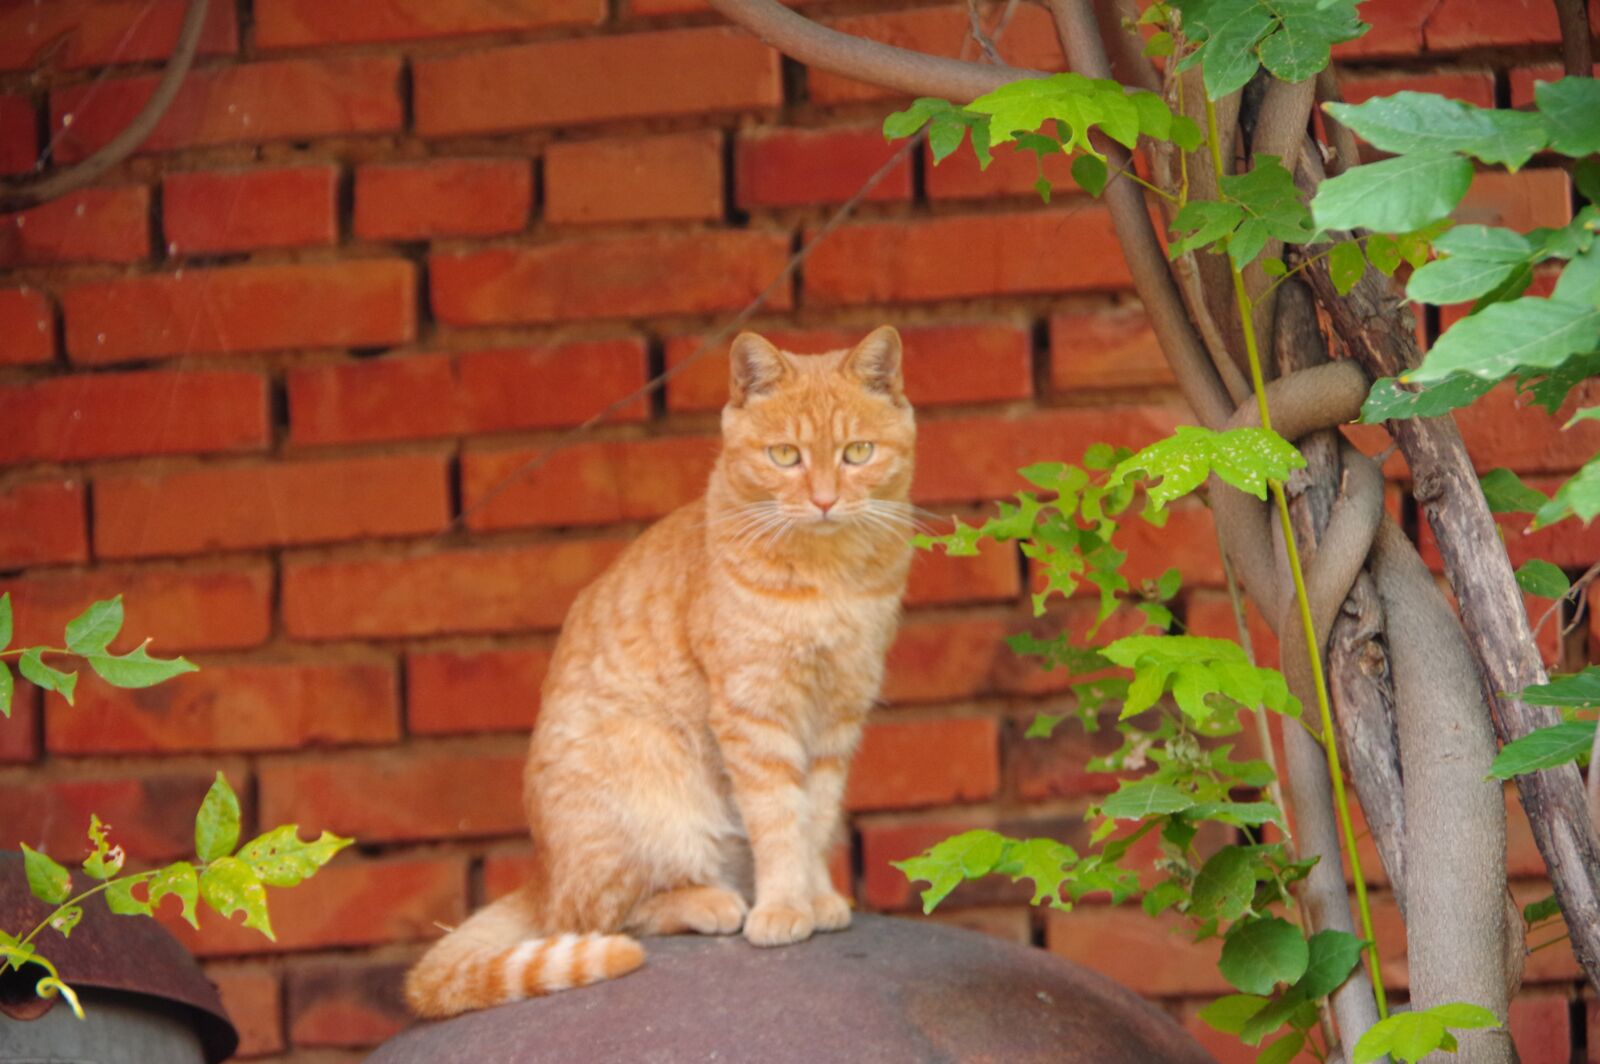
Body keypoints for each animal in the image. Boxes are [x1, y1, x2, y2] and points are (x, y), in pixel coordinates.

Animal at [406, 326, 921, 1024]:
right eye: (785, 456)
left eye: (857, 452)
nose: (822, 500)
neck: (828, 577)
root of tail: (541, 873)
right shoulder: (754, 716)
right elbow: (778, 822)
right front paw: (784, 907)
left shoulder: (838, 716)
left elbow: (813, 819)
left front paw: (816, 899)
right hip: (646, 792)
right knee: (597, 915)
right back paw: (712, 901)